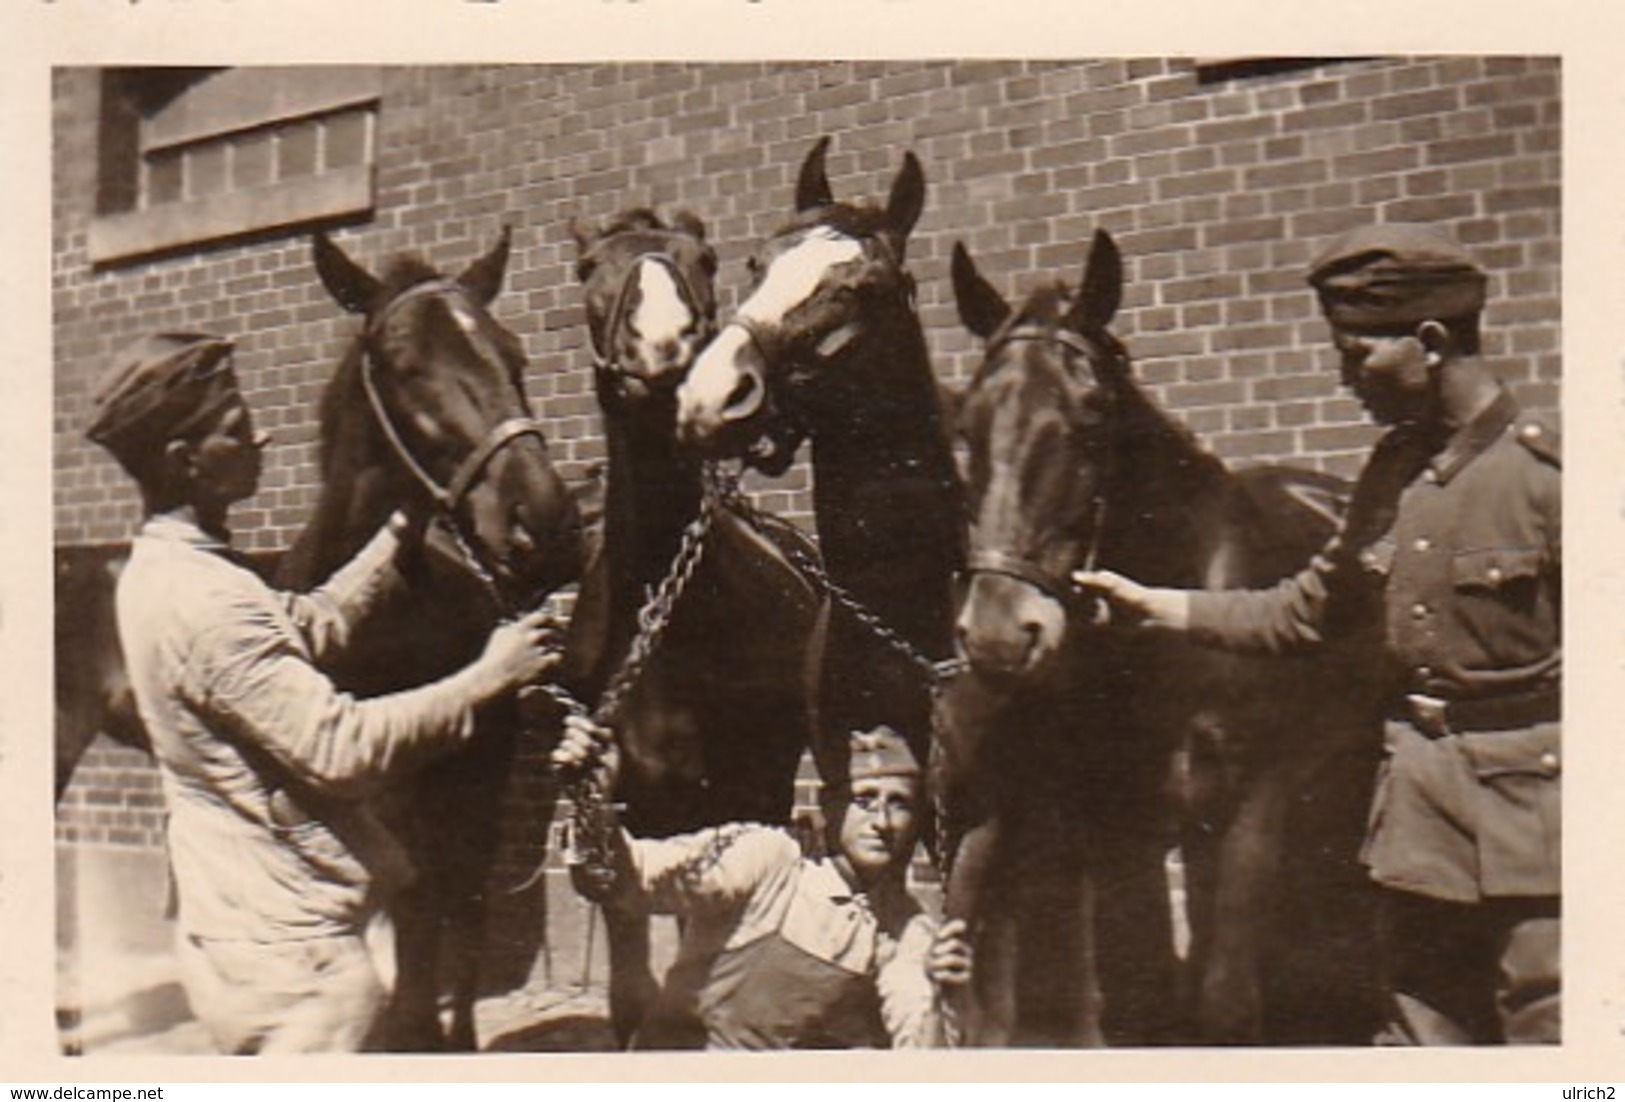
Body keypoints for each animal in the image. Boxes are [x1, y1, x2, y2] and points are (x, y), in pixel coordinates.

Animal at [942, 235, 1384, 1053]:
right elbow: (1114, 1007)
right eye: (966, 425)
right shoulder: (1110, 827)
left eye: (1090, 415)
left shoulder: (1253, 807)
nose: (997, 634)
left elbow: (1226, 1007)